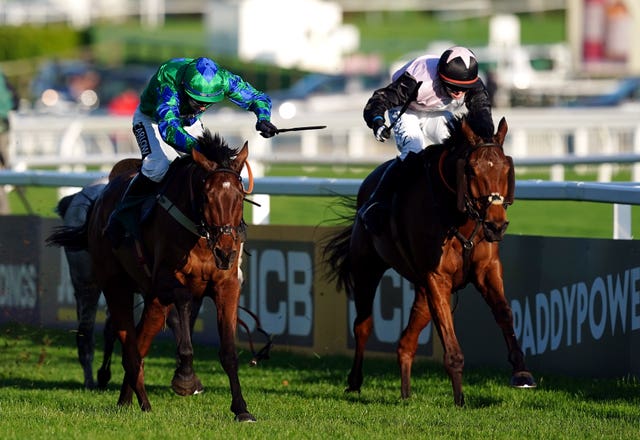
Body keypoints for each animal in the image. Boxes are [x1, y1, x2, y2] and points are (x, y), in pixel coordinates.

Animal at [48, 132, 256, 422]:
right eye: (207, 196)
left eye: (239, 195)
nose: (225, 252)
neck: (199, 236)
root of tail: (96, 200)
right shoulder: (164, 282)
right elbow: (182, 305)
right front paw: (186, 378)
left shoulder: (227, 285)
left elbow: (228, 351)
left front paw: (241, 409)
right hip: (108, 285)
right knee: (122, 344)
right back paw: (138, 400)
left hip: (149, 300)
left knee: (139, 343)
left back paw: (126, 400)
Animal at [324, 116, 536, 406]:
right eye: (472, 171)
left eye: (506, 169)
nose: (496, 225)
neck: (459, 217)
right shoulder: (437, 278)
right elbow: (449, 335)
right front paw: (459, 398)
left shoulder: (486, 269)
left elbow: (504, 312)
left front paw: (522, 372)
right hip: (367, 268)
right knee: (363, 325)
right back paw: (355, 382)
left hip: (421, 292)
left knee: (406, 342)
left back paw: (405, 394)